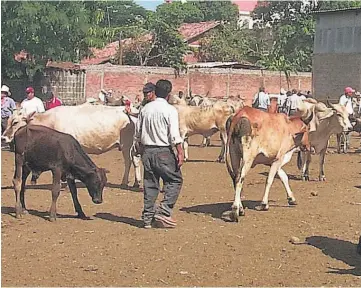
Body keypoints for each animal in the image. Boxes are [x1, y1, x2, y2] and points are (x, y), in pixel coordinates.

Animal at [2, 104, 141, 188]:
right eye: (8, 121)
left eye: (15, 122)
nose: (3, 137)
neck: (50, 121)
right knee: (136, 161)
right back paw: (136, 182)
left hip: (127, 145)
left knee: (129, 162)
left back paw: (125, 183)